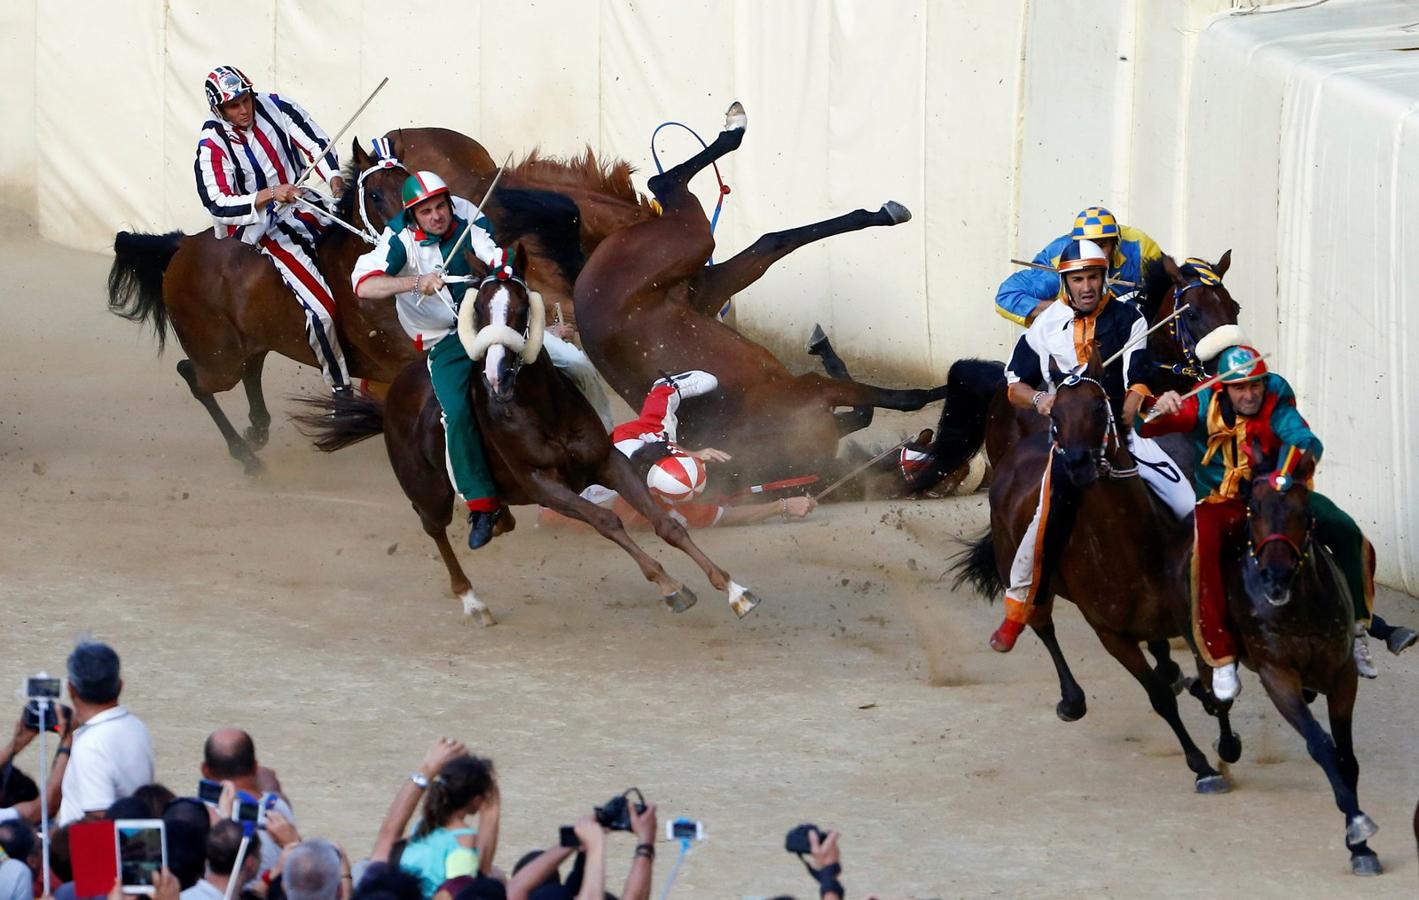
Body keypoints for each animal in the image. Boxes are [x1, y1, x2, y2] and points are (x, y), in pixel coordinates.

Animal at [293, 245, 760, 624]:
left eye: (520, 309)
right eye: (479, 311)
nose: (497, 375)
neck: (540, 410)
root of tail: (391, 397)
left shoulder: (607, 461)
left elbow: (665, 522)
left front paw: (735, 590)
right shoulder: (544, 484)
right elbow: (606, 520)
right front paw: (670, 586)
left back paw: (492, 522)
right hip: (427, 491)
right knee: (436, 531)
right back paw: (472, 602)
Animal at [559, 104, 947, 491]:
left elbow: (867, 410)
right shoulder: (814, 390)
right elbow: (894, 402)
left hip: (700, 285)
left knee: (763, 237)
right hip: (691, 242)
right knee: (675, 189)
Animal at [953, 353, 1243, 789]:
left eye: (1097, 406)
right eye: (1056, 413)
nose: (1077, 463)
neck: (1131, 549)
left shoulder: (1194, 614)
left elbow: (1211, 679)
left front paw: (1225, 740)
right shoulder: (1111, 635)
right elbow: (1159, 697)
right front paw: (1202, 766)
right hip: (1020, 570)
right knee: (1041, 622)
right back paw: (1071, 698)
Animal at [1226, 454, 1379, 868]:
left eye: (1304, 511)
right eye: (1253, 508)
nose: (1275, 578)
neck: (1298, 609)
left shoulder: (1341, 673)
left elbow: (1346, 756)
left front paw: (1360, 846)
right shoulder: (1277, 674)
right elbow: (1320, 744)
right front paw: (1357, 825)